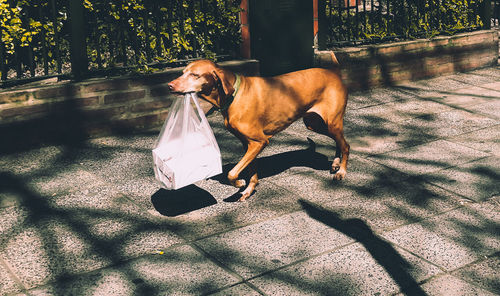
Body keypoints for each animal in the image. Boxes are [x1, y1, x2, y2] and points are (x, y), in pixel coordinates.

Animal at [168, 58, 348, 201]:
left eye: (195, 75)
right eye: (183, 72)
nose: (170, 85)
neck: (234, 95)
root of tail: (334, 73)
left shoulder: (259, 142)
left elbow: (232, 173)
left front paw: (239, 183)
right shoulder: (248, 144)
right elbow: (252, 172)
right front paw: (248, 190)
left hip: (331, 123)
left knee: (346, 145)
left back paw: (342, 171)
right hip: (314, 123)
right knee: (339, 141)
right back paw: (335, 163)